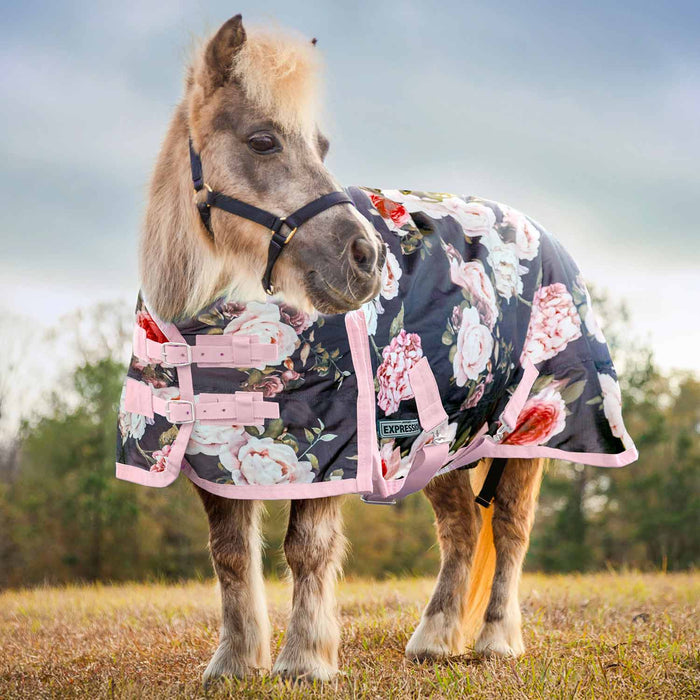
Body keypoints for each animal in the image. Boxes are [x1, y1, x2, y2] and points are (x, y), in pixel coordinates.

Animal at [123, 15, 635, 682]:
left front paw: (304, 661)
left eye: (321, 146)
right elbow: (231, 554)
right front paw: (234, 664)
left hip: (528, 433)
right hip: (442, 441)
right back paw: (435, 638)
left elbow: (307, 549)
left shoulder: (333, 448)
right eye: (262, 141)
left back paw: (496, 640)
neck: (210, 328)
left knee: (511, 530)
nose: (364, 258)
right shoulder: (211, 451)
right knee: (463, 529)